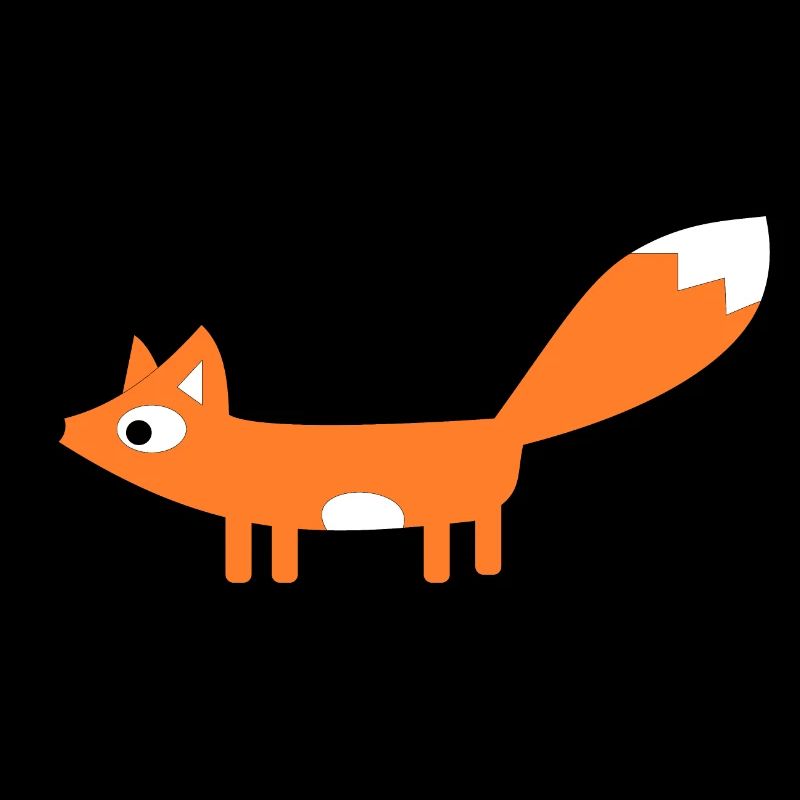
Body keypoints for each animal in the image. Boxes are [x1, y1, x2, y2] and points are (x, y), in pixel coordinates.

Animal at [60, 216, 769, 583]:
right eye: (111, 407)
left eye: (139, 431)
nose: (66, 426)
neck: (232, 448)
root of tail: (502, 424)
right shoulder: (245, 516)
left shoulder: (277, 516)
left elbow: (278, 552)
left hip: (460, 509)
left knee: (471, 536)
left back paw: (456, 572)